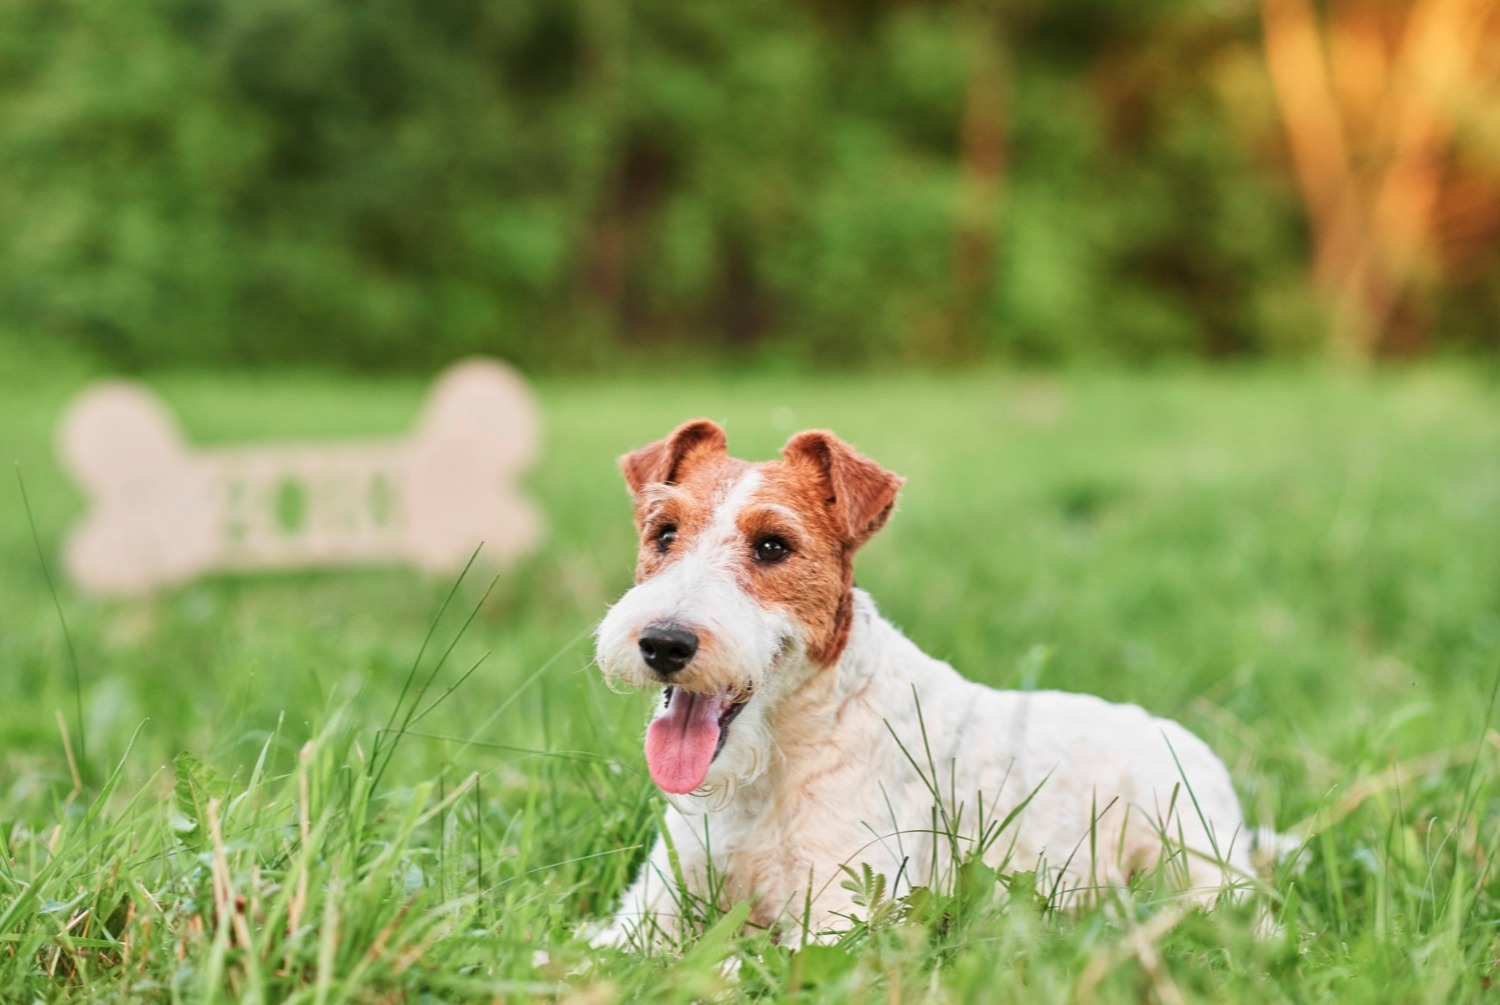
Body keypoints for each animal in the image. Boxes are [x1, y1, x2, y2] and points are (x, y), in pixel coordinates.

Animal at [591, 420, 1260, 954]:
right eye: (664, 533)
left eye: (773, 546)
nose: (664, 643)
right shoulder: (651, 905)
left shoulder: (846, 915)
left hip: (1196, 860)